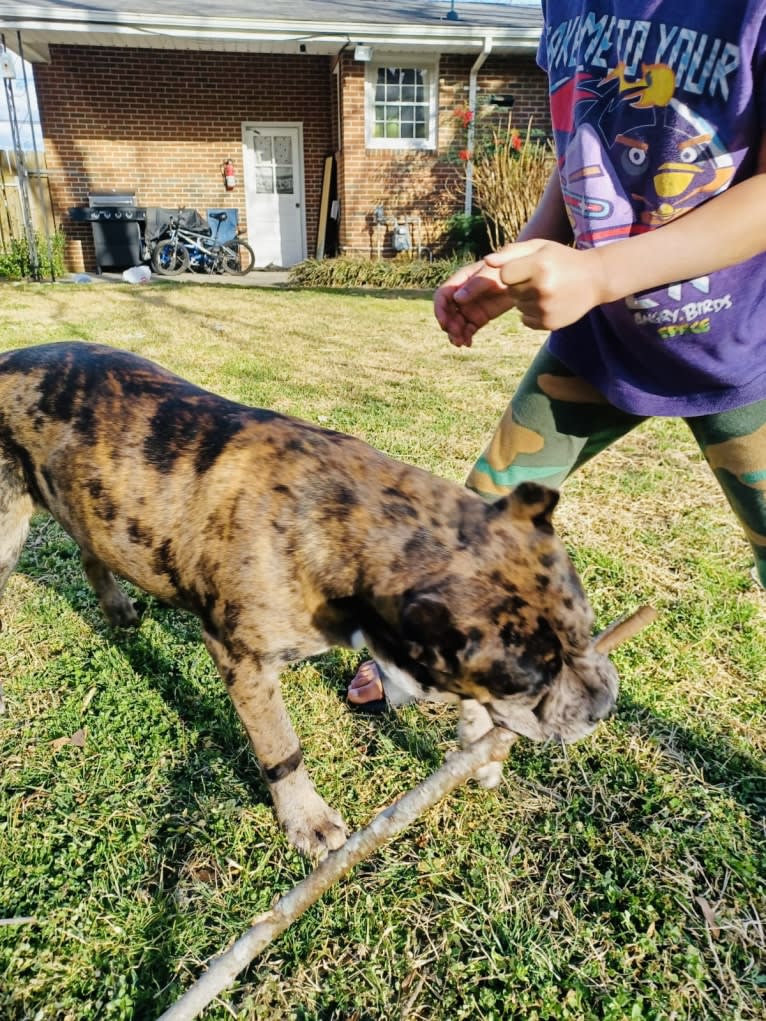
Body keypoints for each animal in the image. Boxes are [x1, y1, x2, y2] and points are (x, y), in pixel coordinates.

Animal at [0, 347, 616, 857]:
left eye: (588, 629)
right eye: (530, 682)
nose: (604, 704)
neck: (356, 522)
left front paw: (479, 746)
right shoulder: (242, 659)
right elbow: (281, 748)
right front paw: (307, 820)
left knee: (91, 552)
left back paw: (119, 611)